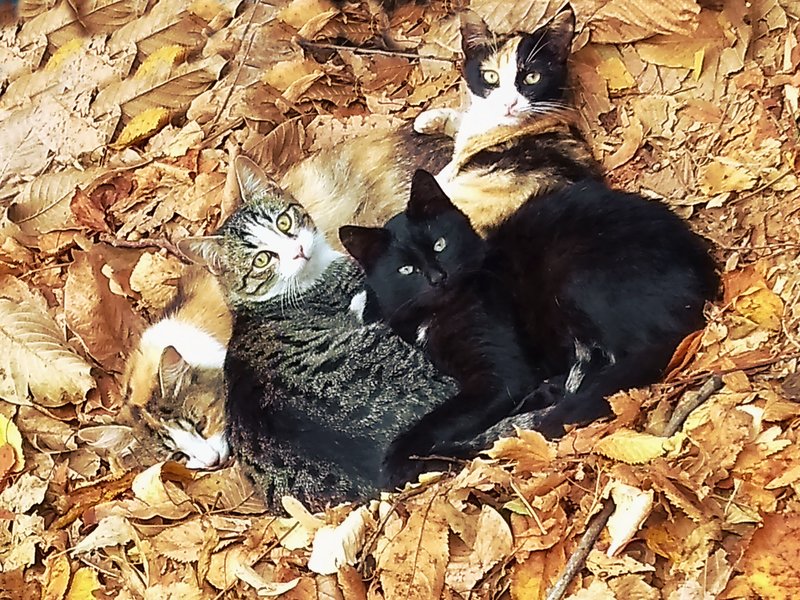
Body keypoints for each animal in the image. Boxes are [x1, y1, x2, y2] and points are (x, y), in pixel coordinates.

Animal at [340, 169, 719, 445]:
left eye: (440, 244)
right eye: (406, 270)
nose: (437, 277)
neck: (439, 314)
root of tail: (698, 265)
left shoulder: (500, 377)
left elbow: (442, 418)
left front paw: (396, 460)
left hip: (577, 277)